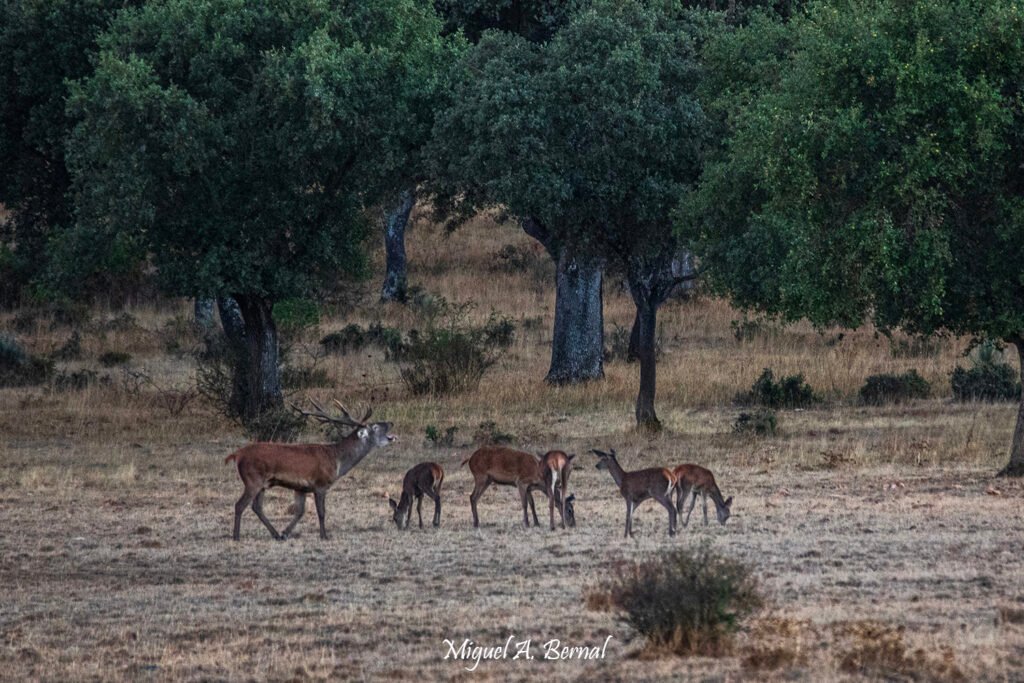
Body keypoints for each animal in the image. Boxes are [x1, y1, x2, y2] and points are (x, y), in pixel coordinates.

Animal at [225, 398, 397, 541]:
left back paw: (275, 534)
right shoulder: (320, 484)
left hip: (263, 484)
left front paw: (285, 533)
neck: (337, 460)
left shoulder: (301, 488)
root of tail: (237, 454)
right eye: (375, 426)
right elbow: (321, 512)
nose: (391, 422)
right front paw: (324, 536)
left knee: (257, 507)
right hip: (252, 479)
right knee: (240, 505)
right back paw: (236, 536)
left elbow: (299, 511)